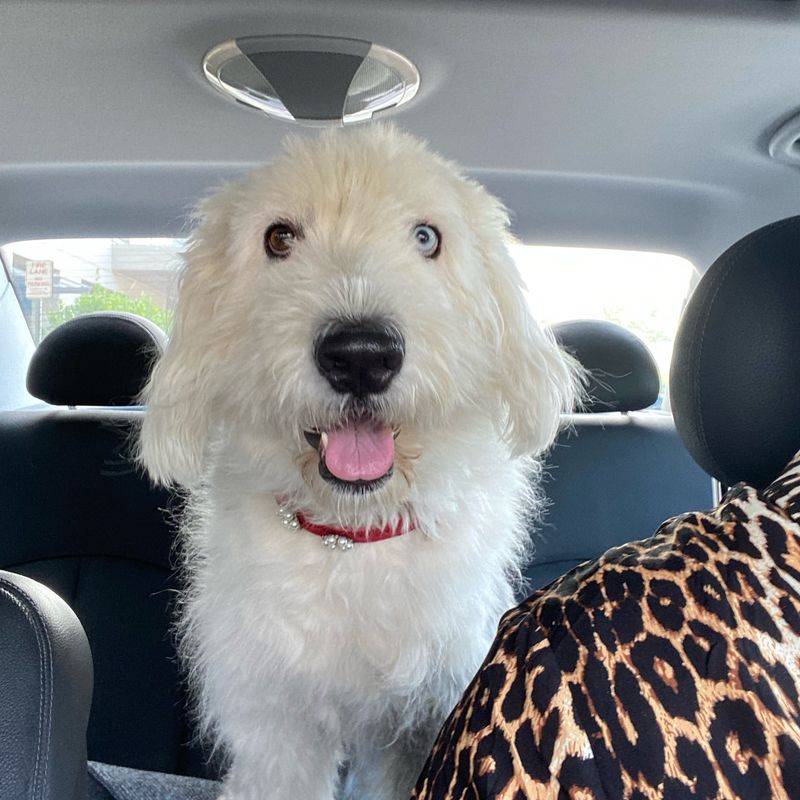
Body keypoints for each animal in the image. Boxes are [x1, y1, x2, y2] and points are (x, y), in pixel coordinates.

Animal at [139, 126, 580, 800]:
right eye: (279, 238)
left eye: (426, 237)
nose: (361, 355)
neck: (353, 538)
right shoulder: (279, 731)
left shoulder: (417, 726)